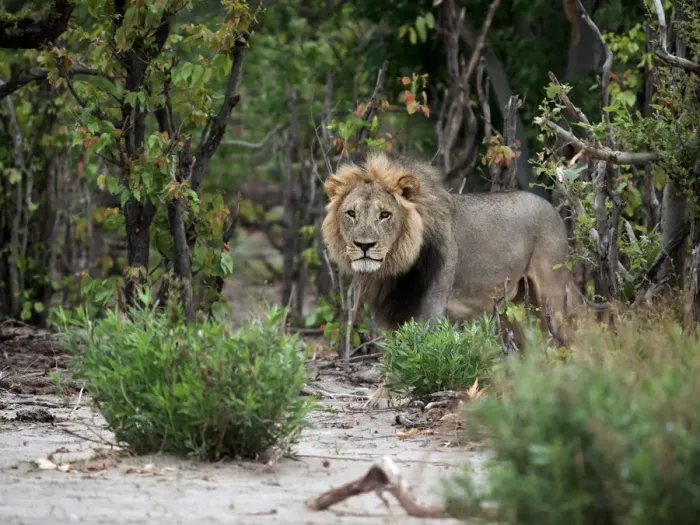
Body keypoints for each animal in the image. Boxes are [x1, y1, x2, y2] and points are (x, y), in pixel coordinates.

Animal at [321, 151, 575, 332]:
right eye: (351, 214)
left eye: (385, 215)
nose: (364, 245)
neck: (397, 268)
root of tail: (552, 208)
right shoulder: (395, 312)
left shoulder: (429, 311)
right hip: (518, 304)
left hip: (551, 296)